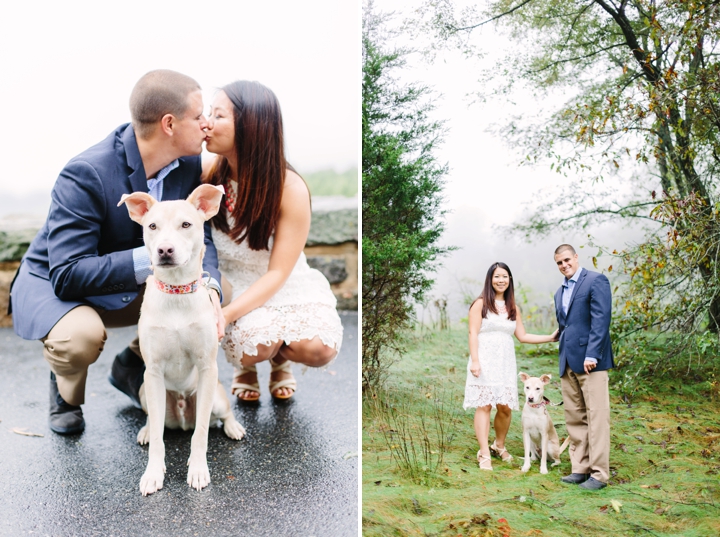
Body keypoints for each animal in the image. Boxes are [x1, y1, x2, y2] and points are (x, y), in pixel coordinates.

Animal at [119, 183, 246, 494]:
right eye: (152, 226)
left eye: (186, 224)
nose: (164, 250)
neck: (176, 291)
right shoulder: (152, 372)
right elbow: (158, 440)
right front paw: (153, 473)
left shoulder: (207, 368)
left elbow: (201, 432)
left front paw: (198, 470)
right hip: (146, 392)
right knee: (153, 419)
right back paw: (146, 430)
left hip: (216, 396)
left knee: (219, 415)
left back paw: (233, 427)